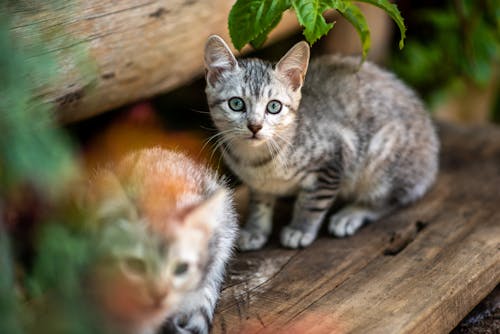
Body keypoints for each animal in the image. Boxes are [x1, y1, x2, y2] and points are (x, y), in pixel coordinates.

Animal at [203, 36, 438, 250]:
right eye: (236, 104)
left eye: (274, 107)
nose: (255, 126)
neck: (258, 161)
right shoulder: (258, 184)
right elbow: (260, 203)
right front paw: (255, 230)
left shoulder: (334, 159)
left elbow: (312, 203)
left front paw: (300, 230)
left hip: (382, 158)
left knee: (388, 200)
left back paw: (351, 214)